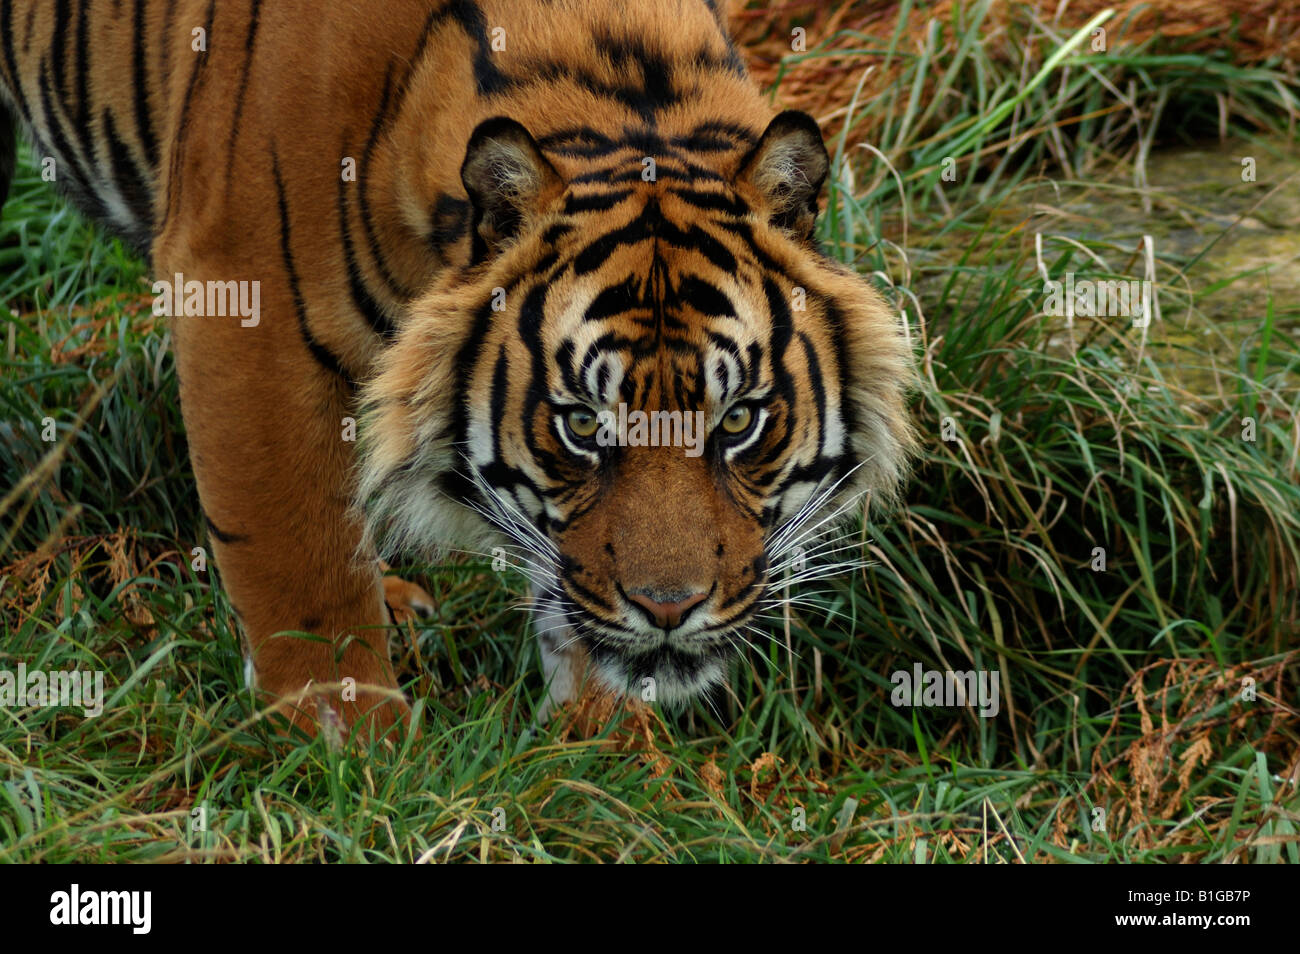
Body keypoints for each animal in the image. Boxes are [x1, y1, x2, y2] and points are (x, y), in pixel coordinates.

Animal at [0, 0, 915, 738]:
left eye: (739, 420)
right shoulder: (240, 297)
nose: (668, 610)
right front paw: (346, 738)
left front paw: (603, 741)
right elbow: (294, 547)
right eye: (582, 424)